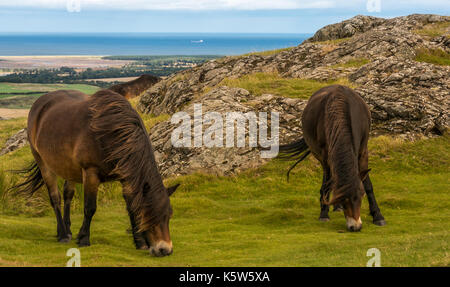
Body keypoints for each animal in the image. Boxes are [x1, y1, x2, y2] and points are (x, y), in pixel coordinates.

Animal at [11, 89, 178, 256]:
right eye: (152, 214)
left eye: (169, 215)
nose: (165, 249)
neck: (111, 133)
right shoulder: (90, 173)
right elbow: (90, 207)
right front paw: (84, 238)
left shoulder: (126, 179)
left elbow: (131, 207)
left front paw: (140, 242)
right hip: (43, 163)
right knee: (55, 198)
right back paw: (63, 234)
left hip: (69, 168)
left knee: (67, 195)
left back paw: (67, 230)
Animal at [280, 85, 384, 232]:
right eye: (344, 199)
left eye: (361, 195)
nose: (355, 227)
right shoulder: (326, 155)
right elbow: (328, 184)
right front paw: (324, 214)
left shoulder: (363, 151)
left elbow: (368, 184)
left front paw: (378, 216)